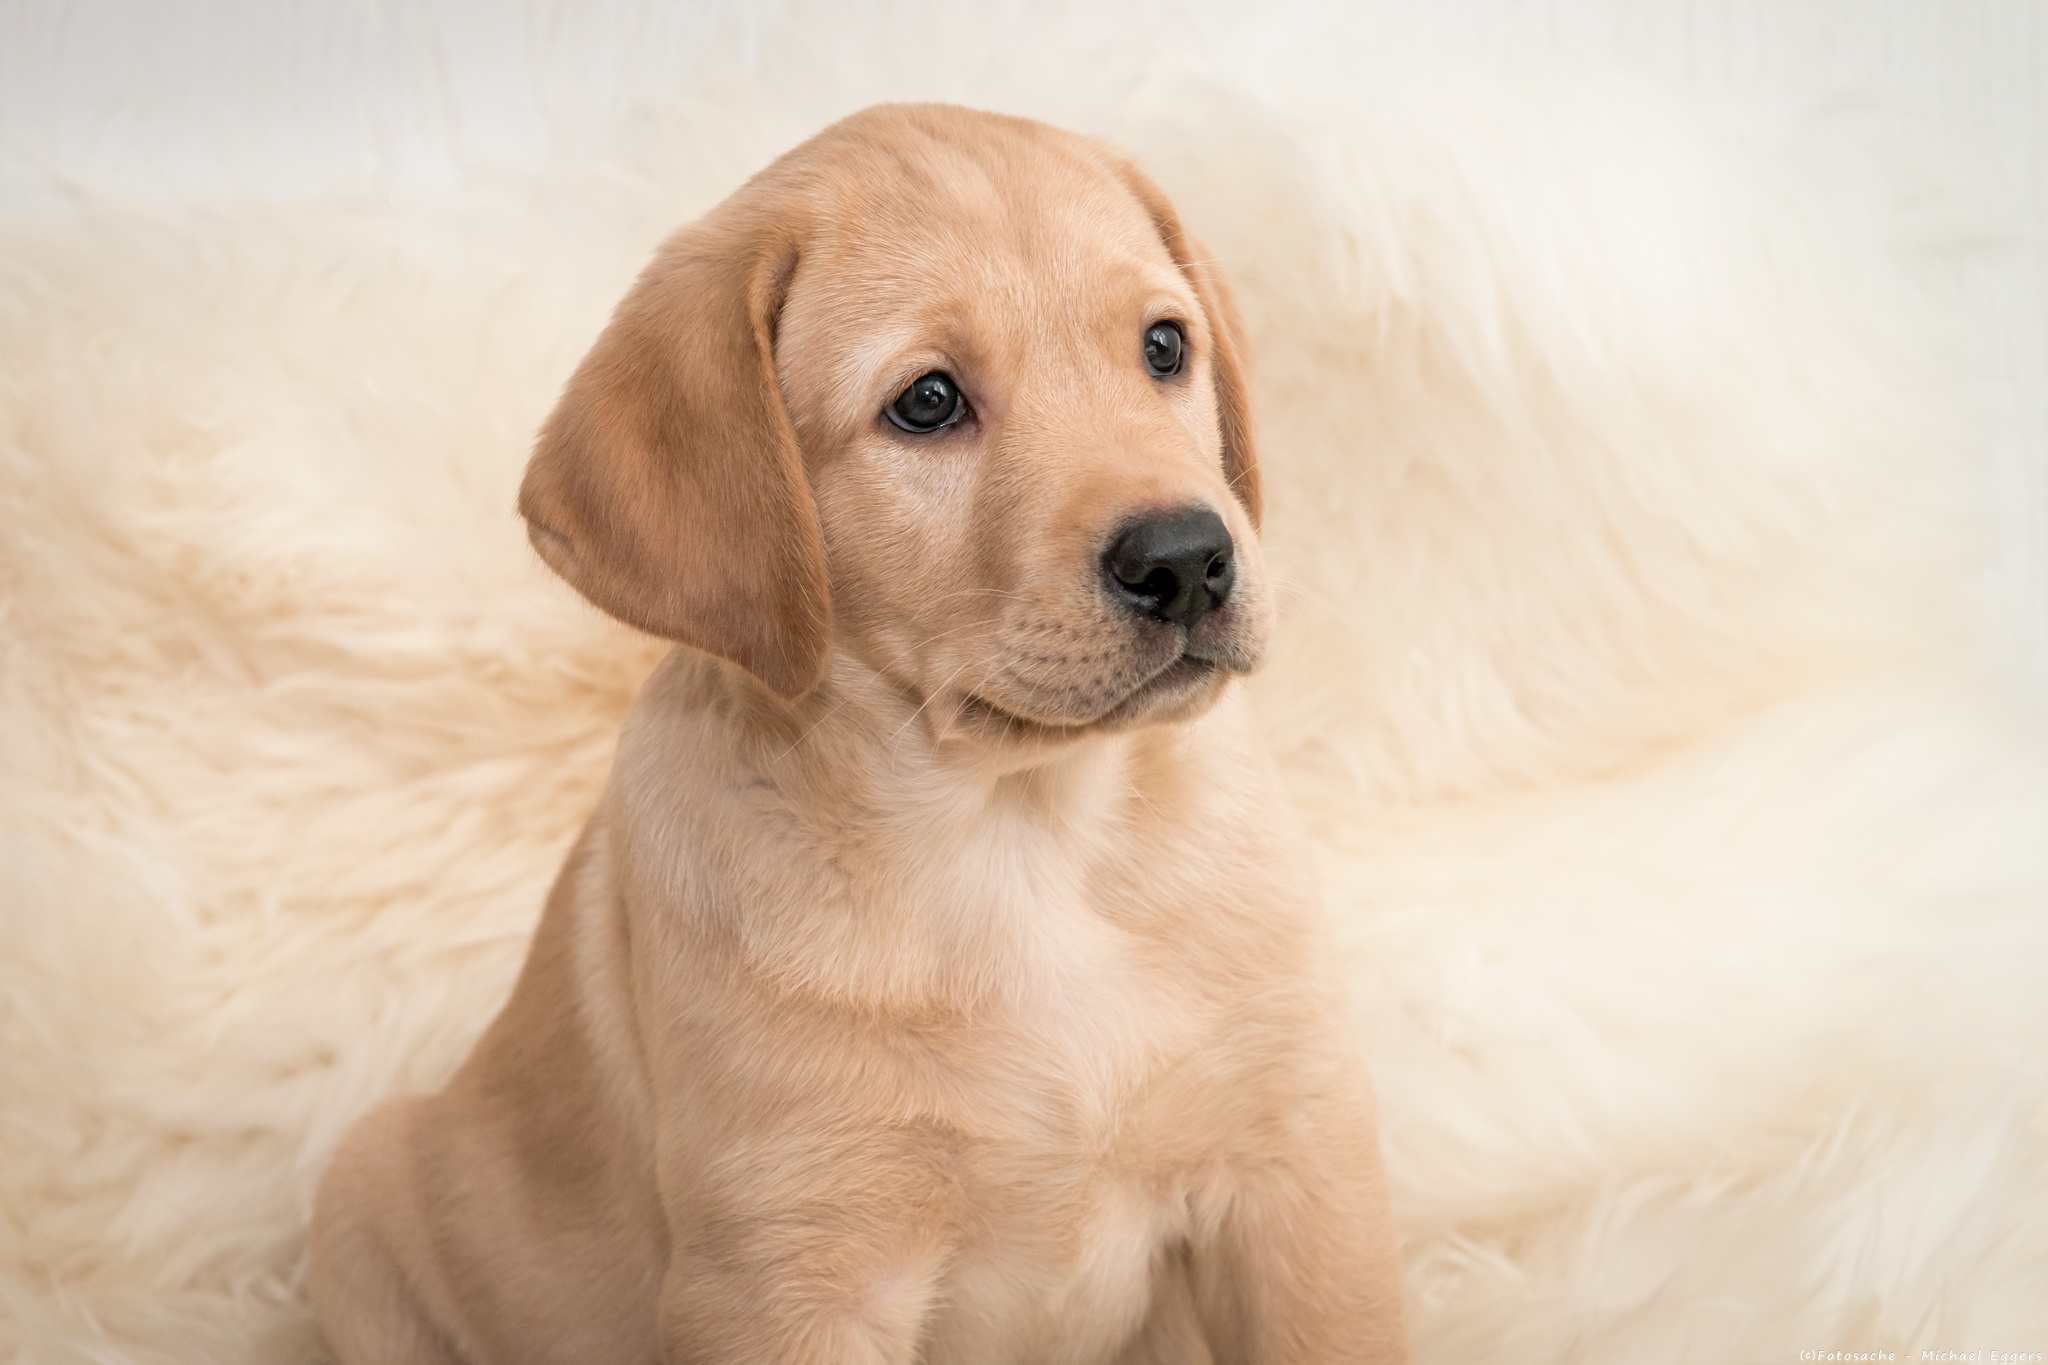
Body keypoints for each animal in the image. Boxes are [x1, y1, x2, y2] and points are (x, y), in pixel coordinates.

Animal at [307, 101, 1409, 1365]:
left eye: (1164, 347)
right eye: (926, 403)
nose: (1185, 559)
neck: (1020, 834)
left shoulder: (1294, 1164)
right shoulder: (791, 1279)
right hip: (360, 1201)